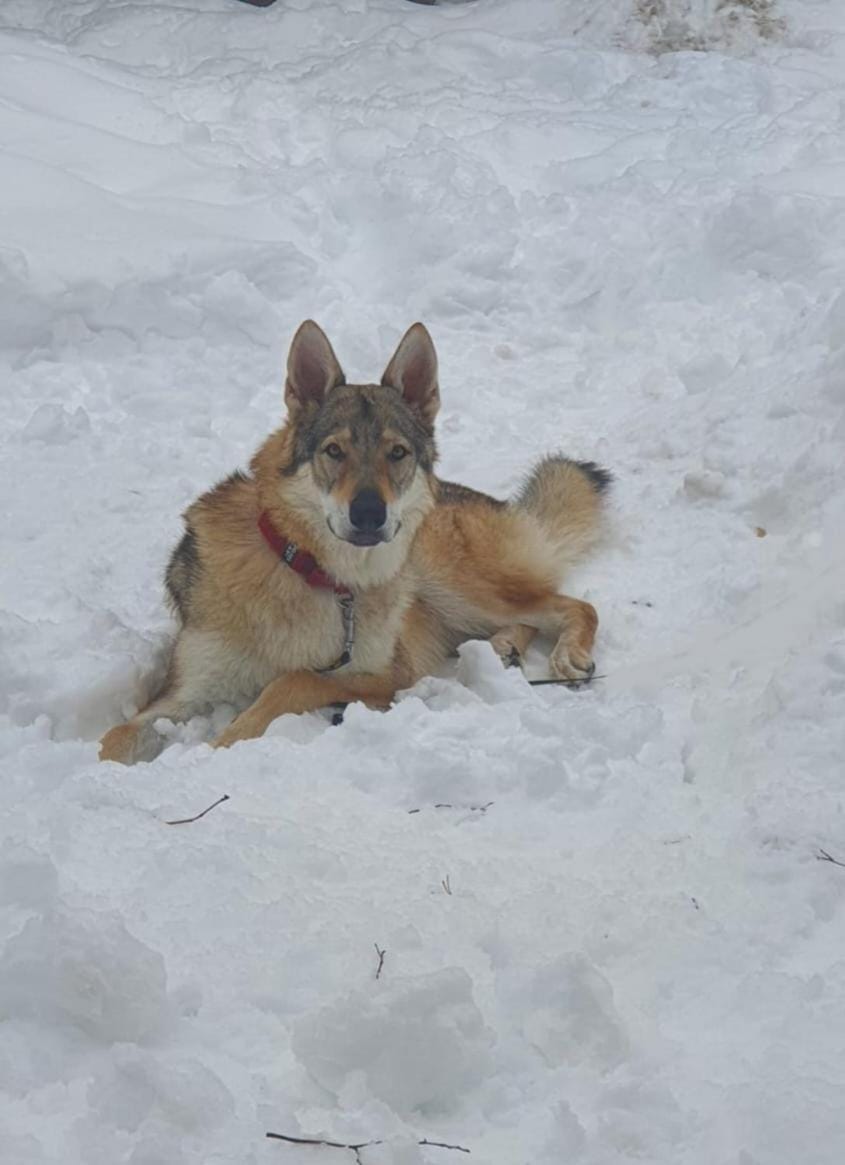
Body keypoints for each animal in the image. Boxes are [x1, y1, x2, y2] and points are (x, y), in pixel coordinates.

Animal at [99, 321, 610, 764]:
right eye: (334, 451)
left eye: (397, 453)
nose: (369, 513)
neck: (307, 571)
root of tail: (490, 499)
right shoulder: (180, 693)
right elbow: (116, 736)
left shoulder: (386, 674)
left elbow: (291, 681)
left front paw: (220, 745)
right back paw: (504, 647)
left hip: (454, 584)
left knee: (573, 604)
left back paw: (563, 653)